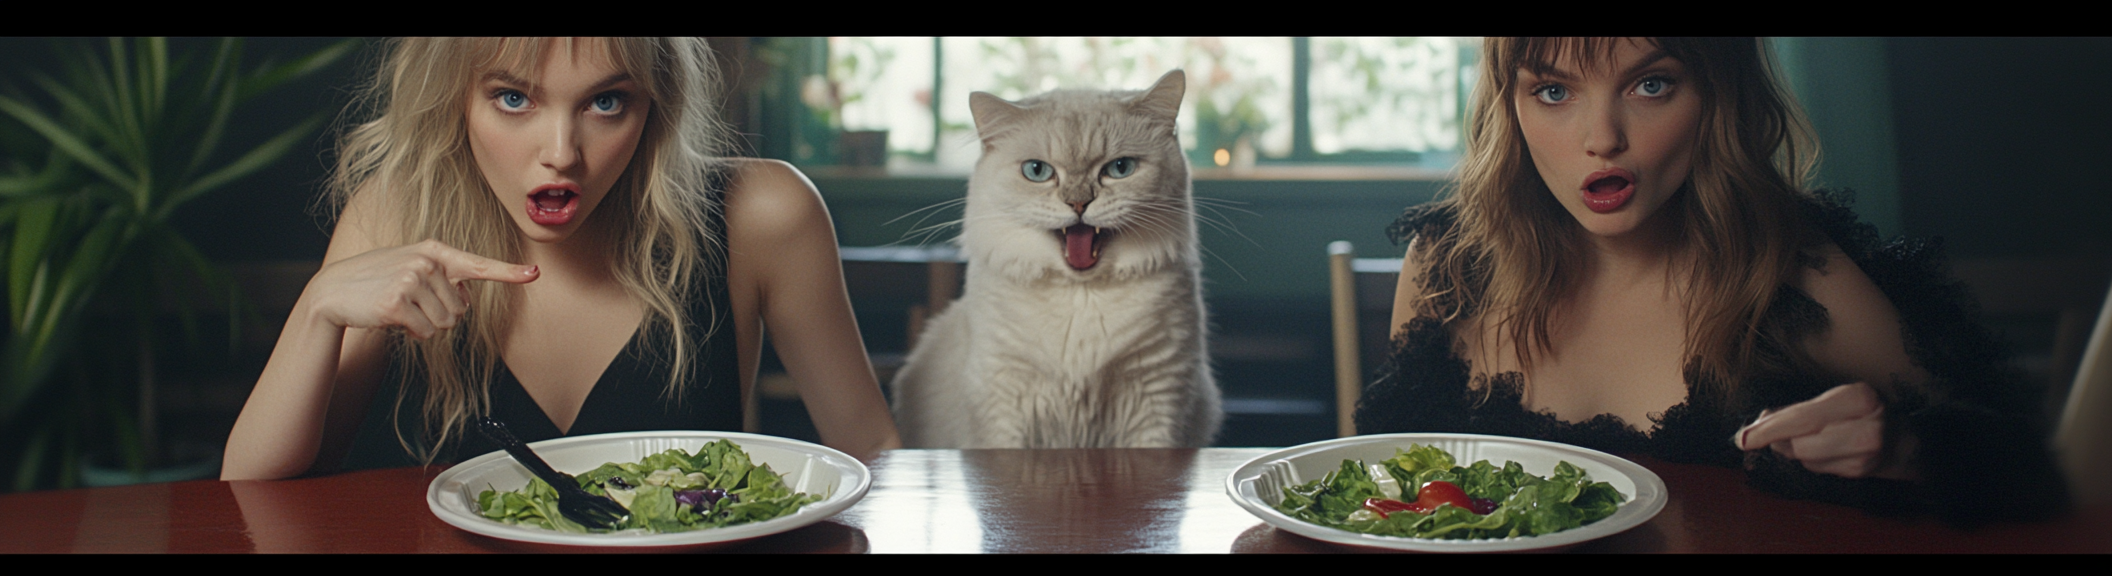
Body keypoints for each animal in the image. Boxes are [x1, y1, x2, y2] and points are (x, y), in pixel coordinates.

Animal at [891, 70, 1224, 447]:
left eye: (1120, 168)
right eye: (1037, 171)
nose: (1079, 203)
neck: (1080, 295)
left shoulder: (1156, 398)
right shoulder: (1005, 403)